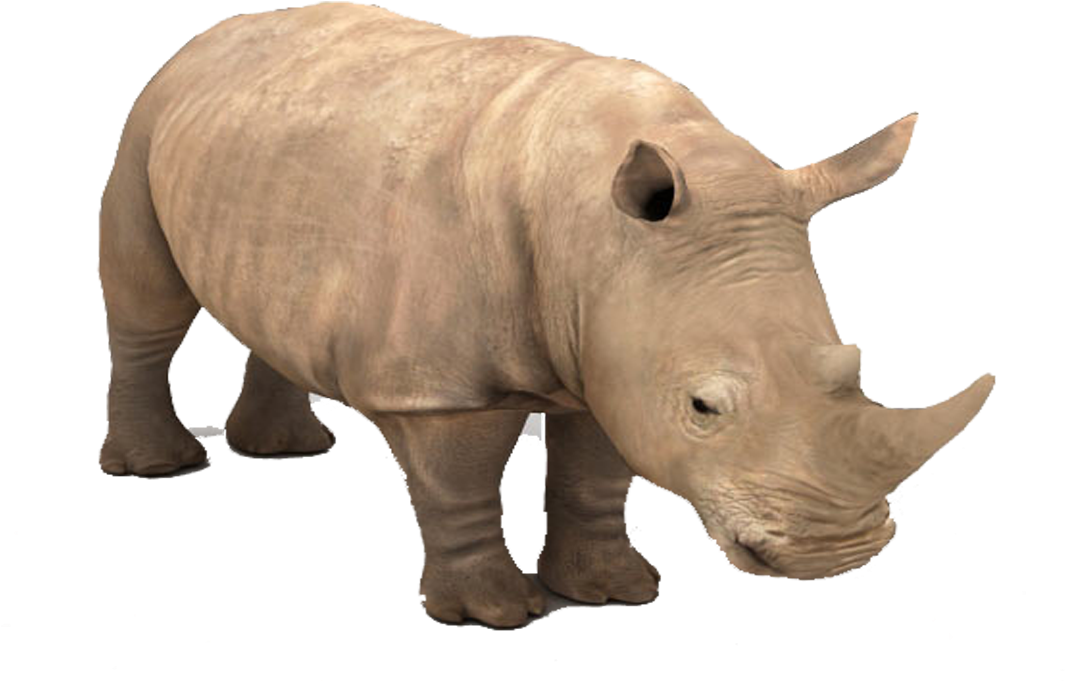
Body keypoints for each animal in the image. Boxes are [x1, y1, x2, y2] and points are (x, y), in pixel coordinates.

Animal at [99, 2, 995, 626]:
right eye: (703, 407)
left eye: (853, 364)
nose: (834, 552)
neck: (598, 231)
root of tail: (214, 34)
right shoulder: (441, 386)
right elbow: (458, 483)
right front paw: (493, 614)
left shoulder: (616, 348)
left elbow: (596, 473)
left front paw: (610, 591)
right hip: (147, 117)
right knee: (148, 303)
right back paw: (160, 468)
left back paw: (287, 453)